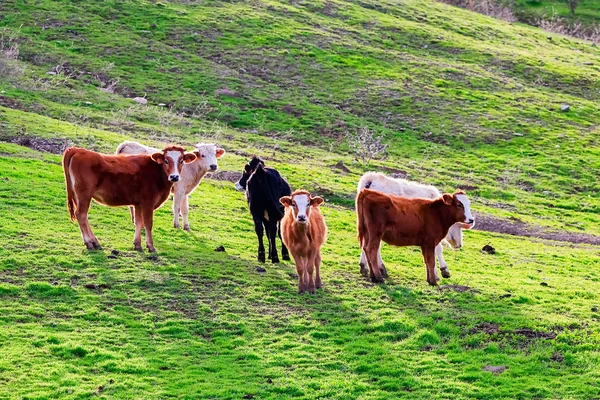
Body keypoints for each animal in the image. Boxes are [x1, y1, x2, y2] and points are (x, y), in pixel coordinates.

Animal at [62, 145, 197, 252]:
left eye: (181, 161)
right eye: (166, 160)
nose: (174, 177)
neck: (157, 173)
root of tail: (77, 150)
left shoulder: (138, 204)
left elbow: (139, 222)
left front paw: (137, 245)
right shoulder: (148, 202)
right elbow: (148, 223)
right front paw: (151, 246)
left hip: (79, 195)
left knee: (83, 216)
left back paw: (95, 242)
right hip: (84, 194)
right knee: (81, 214)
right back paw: (90, 243)